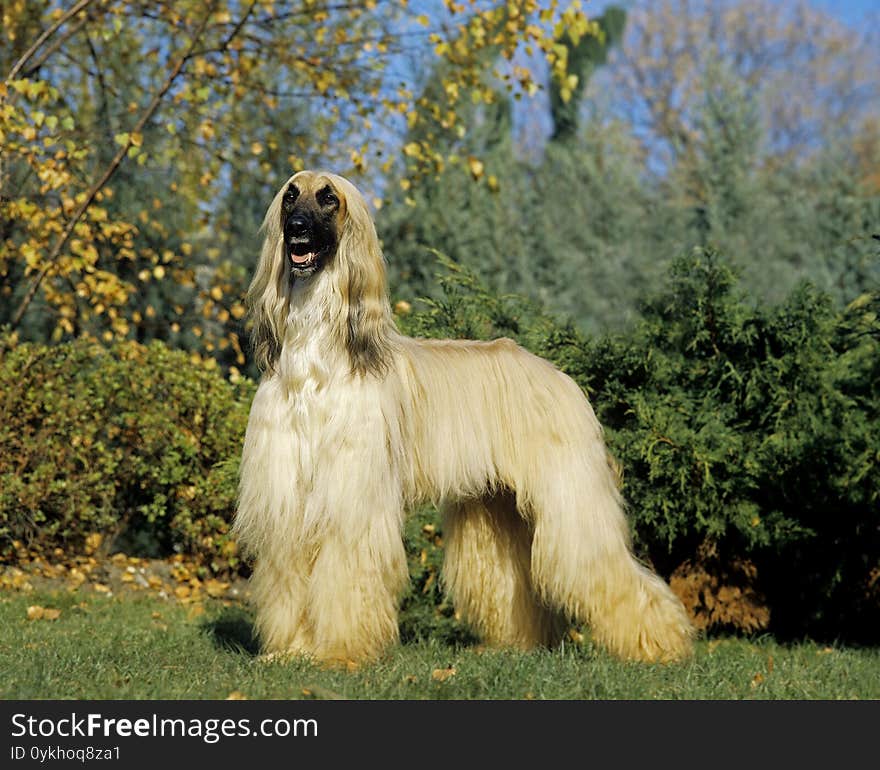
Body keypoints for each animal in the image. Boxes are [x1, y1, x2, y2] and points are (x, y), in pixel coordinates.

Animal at [234, 171, 696, 664]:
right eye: (290, 196)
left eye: (328, 198)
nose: (297, 230)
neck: (317, 357)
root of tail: (558, 374)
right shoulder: (288, 493)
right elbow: (291, 575)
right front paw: (293, 650)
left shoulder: (352, 494)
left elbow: (346, 573)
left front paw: (341, 652)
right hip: (496, 504)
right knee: (515, 579)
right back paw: (522, 643)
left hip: (569, 492)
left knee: (607, 565)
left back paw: (662, 643)